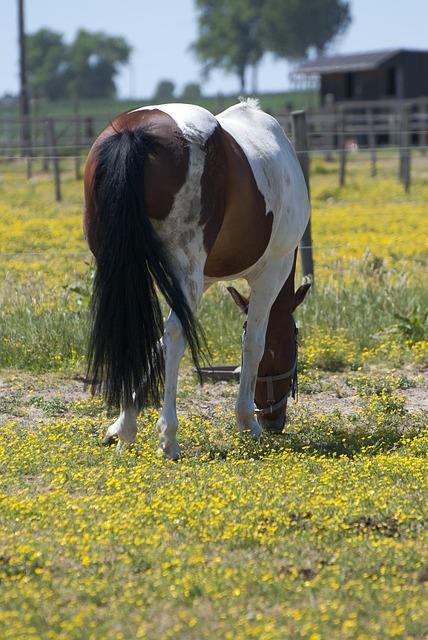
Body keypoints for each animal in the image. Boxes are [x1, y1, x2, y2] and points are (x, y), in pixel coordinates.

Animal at [83, 99, 310, 460]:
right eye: (294, 340)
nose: (275, 421)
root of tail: (135, 133)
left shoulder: (202, 279)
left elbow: (155, 347)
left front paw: (120, 426)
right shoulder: (271, 271)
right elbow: (254, 344)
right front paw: (247, 421)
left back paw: (129, 428)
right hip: (187, 271)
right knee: (176, 335)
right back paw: (169, 437)